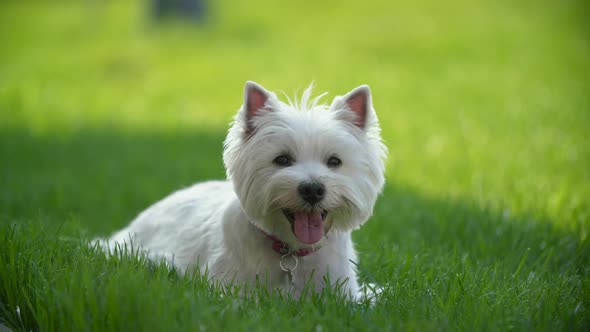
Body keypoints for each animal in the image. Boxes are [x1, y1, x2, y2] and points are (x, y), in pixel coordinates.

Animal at [98, 82, 388, 298]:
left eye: (334, 161)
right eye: (282, 159)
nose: (313, 189)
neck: (292, 252)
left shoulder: (345, 292)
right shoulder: (230, 288)